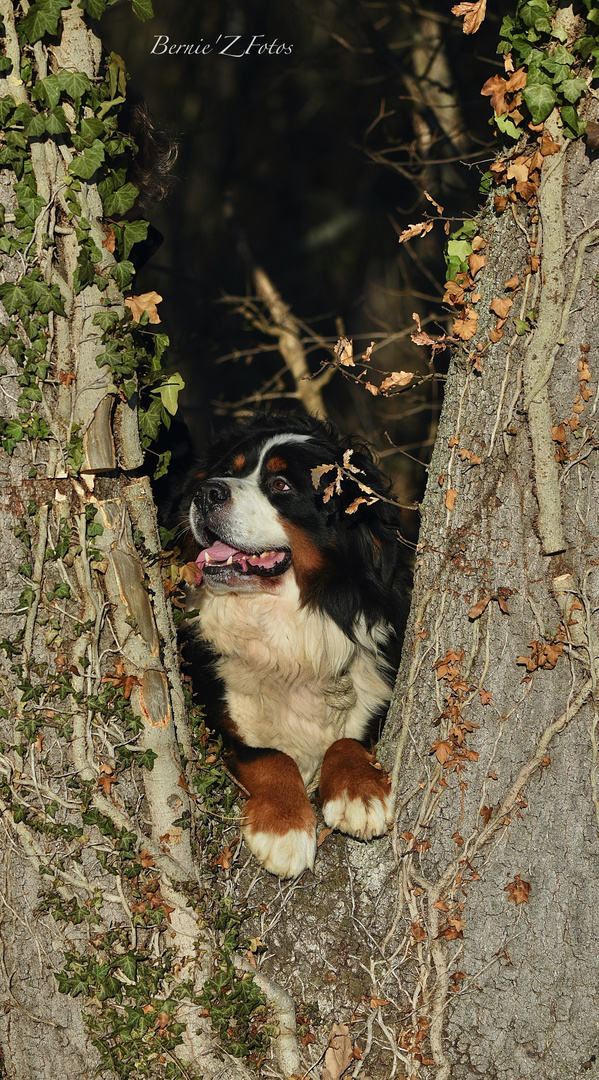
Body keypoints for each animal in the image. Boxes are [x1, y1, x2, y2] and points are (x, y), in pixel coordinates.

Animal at [180, 412, 410, 876]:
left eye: (282, 485)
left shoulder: (375, 697)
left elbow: (346, 742)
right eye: (229, 470)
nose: (205, 492)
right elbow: (270, 756)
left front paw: (360, 795)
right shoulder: (218, 719)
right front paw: (284, 827)